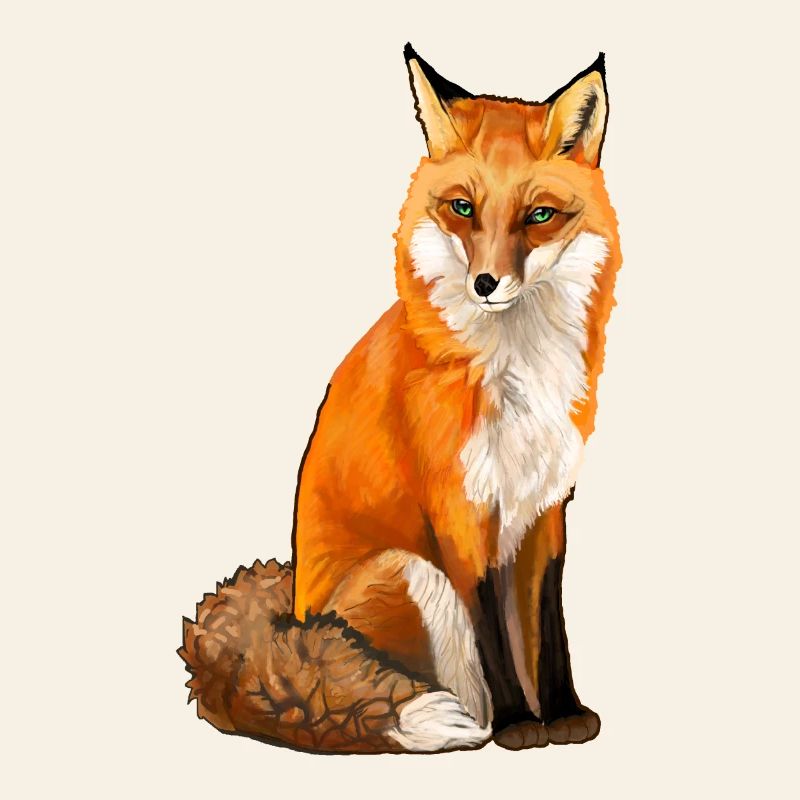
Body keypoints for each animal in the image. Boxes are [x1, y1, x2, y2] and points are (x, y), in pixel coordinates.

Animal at [181, 44, 621, 754]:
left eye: (540, 216)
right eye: (463, 208)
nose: (486, 283)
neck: (516, 370)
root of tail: (290, 616)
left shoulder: (545, 506)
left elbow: (548, 627)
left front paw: (563, 712)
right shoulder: (459, 511)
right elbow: (494, 635)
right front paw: (521, 725)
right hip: (411, 570)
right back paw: (471, 722)